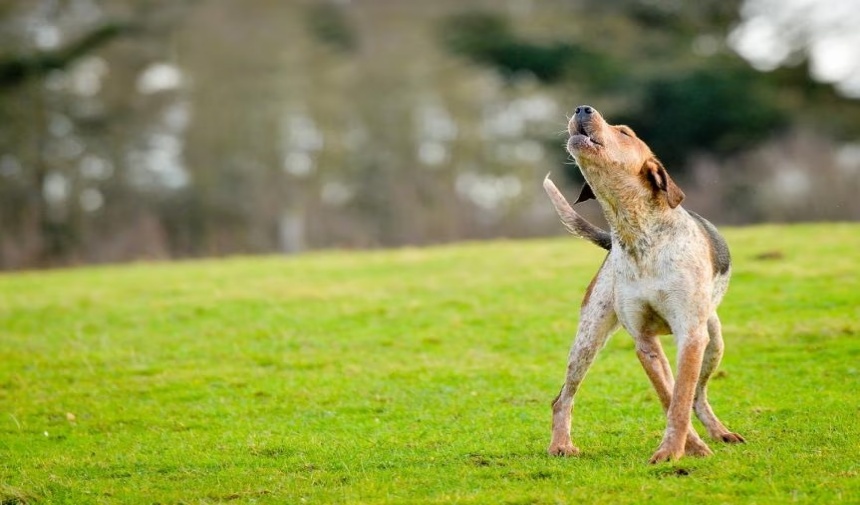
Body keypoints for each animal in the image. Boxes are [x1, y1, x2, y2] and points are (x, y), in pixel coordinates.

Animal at [548, 104, 744, 462]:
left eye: (625, 133)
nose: (582, 108)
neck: (634, 233)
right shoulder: (644, 342)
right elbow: (669, 398)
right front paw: (685, 448)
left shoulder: (690, 335)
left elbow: (680, 398)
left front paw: (676, 450)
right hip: (587, 340)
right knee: (562, 398)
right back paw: (560, 445)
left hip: (713, 342)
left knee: (697, 396)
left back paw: (719, 432)